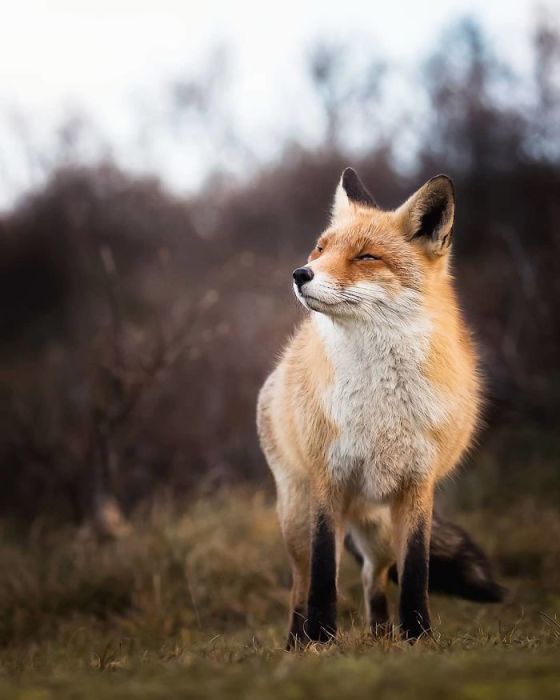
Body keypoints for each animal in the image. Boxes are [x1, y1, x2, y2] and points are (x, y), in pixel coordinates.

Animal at [256, 167, 506, 648]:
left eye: (366, 257)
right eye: (321, 248)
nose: (301, 273)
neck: (382, 406)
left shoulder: (417, 486)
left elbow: (416, 575)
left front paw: (418, 638)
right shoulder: (328, 481)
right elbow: (322, 578)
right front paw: (321, 640)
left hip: (381, 528)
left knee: (375, 577)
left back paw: (380, 636)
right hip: (297, 513)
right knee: (302, 581)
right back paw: (298, 642)